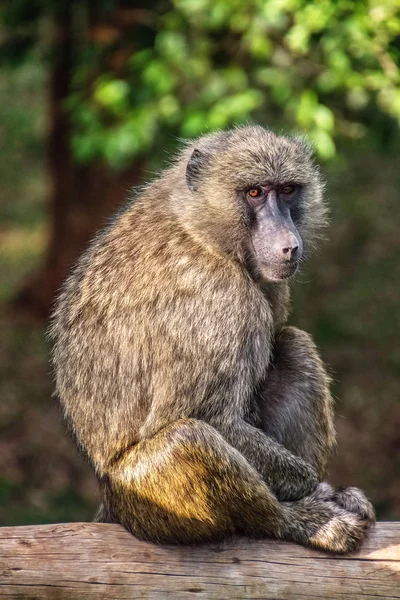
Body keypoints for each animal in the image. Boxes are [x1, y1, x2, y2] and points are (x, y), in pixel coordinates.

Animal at [50, 125, 376, 552]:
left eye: (288, 190)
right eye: (254, 192)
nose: (288, 245)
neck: (201, 226)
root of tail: (112, 506)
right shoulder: (221, 298)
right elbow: (209, 417)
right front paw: (320, 493)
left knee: (294, 345)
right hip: (145, 504)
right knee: (189, 437)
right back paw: (299, 522)